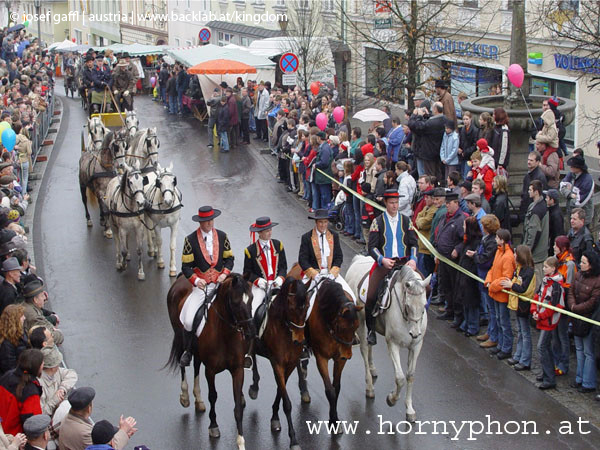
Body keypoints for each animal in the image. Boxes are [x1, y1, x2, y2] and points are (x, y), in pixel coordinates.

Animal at [166, 272, 255, 448]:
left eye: (252, 298)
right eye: (236, 302)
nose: (250, 332)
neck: (225, 334)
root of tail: (181, 278)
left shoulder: (237, 370)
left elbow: (237, 405)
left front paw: (241, 441)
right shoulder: (211, 371)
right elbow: (213, 396)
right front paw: (213, 426)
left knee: (196, 365)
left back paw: (198, 400)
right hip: (179, 336)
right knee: (182, 362)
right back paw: (185, 396)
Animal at [247, 278, 310, 450]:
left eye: (308, 306)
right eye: (292, 307)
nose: (299, 340)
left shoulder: (289, 365)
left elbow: (280, 391)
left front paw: (275, 418)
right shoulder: (277, 364)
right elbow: (286, 401)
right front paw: (294, 439)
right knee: (251, 356)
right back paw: (253, 386)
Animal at [346, 256, 432, 422]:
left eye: (424, 304)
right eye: (408, 305)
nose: (414, 333)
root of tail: (359, 258)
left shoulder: (416, 345)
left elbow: (410, 376)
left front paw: (409, 409)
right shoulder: (393, 343)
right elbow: (400, 378)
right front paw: (391, 399)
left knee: (370, 343)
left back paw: (372, 368)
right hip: (360, 320)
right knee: (364, 348)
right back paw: (369, 387)